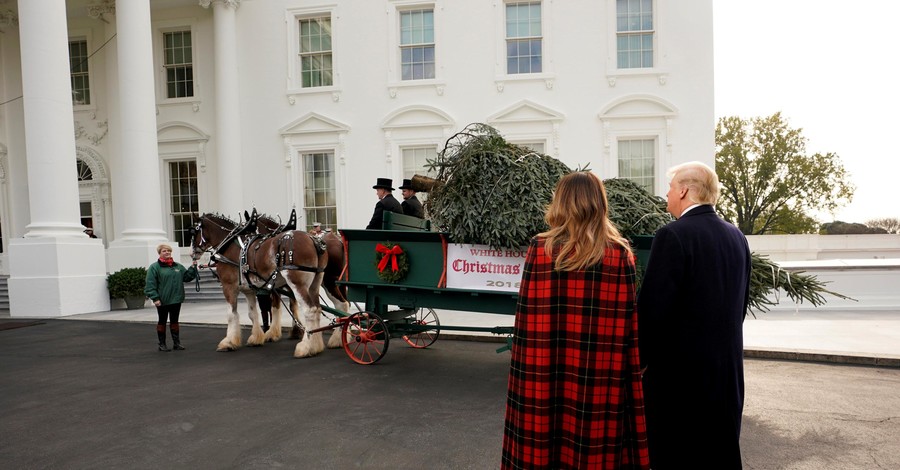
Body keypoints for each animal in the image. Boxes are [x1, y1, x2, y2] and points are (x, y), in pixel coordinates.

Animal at [192, 211, 328, 358]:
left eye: (193, 231)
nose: (193, 253)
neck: (228, 245)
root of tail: (313, 239)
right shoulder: (249, 290)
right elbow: (253, 313)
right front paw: (256, 338)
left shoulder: (229, 286)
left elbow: (232, 314)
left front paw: (229, 342)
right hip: (314, 284)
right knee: (317, 308)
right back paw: (316, 345)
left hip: (297, 283)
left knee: (310, 310)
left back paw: (306, 346)